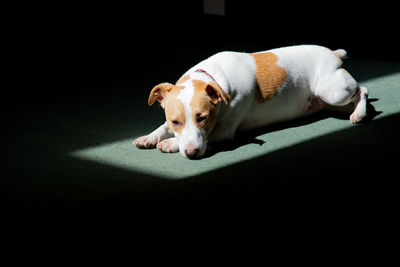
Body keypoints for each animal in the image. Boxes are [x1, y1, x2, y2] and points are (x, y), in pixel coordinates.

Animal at [133, 45, 368, 159]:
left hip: (333, 91)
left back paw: (359, 113)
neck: (213, 78)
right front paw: (150, 137)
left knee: (362, 90)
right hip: (329, 100)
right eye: (175, 122)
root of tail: (332, 53)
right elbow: (162, 127)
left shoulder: (225, 131)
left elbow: (208, 137)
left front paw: (170, 143)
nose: (191, 153)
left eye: (203, 118)